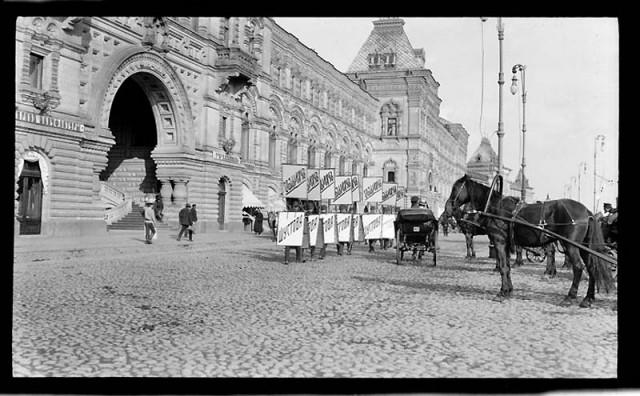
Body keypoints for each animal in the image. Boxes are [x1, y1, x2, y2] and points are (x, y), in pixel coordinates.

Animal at [444, 175, 616, 308]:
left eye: (455, 188)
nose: (447, 209)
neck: (495, 207)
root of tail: (587, 212)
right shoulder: (506, 244)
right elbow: (506, 267)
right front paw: (508, 290)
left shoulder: (499, 242)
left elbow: (503, 267)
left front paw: (502, 292)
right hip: (584, 247)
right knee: (592, 268)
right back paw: (588, 299)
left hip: (571, 246)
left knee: (579, 268)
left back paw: (569, 296)